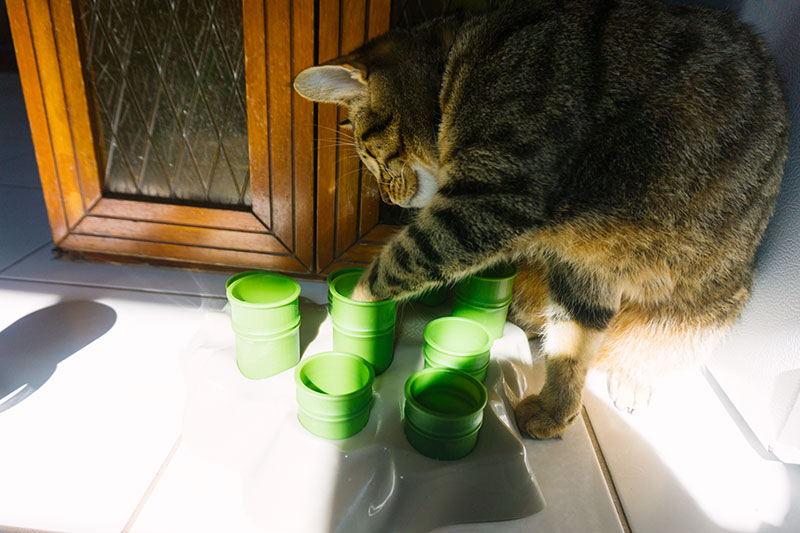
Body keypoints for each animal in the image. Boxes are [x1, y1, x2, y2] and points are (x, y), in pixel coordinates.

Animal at [294, 0, 788, 438]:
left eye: (368, 157)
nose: (387, 197)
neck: (458, 72)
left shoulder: (491, 201)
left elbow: (396, 263)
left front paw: (353, 299)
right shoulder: (585, 266)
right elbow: (573, 346)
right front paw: (556, 410)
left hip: (705, 311)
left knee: (651, 351)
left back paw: (633, 377)